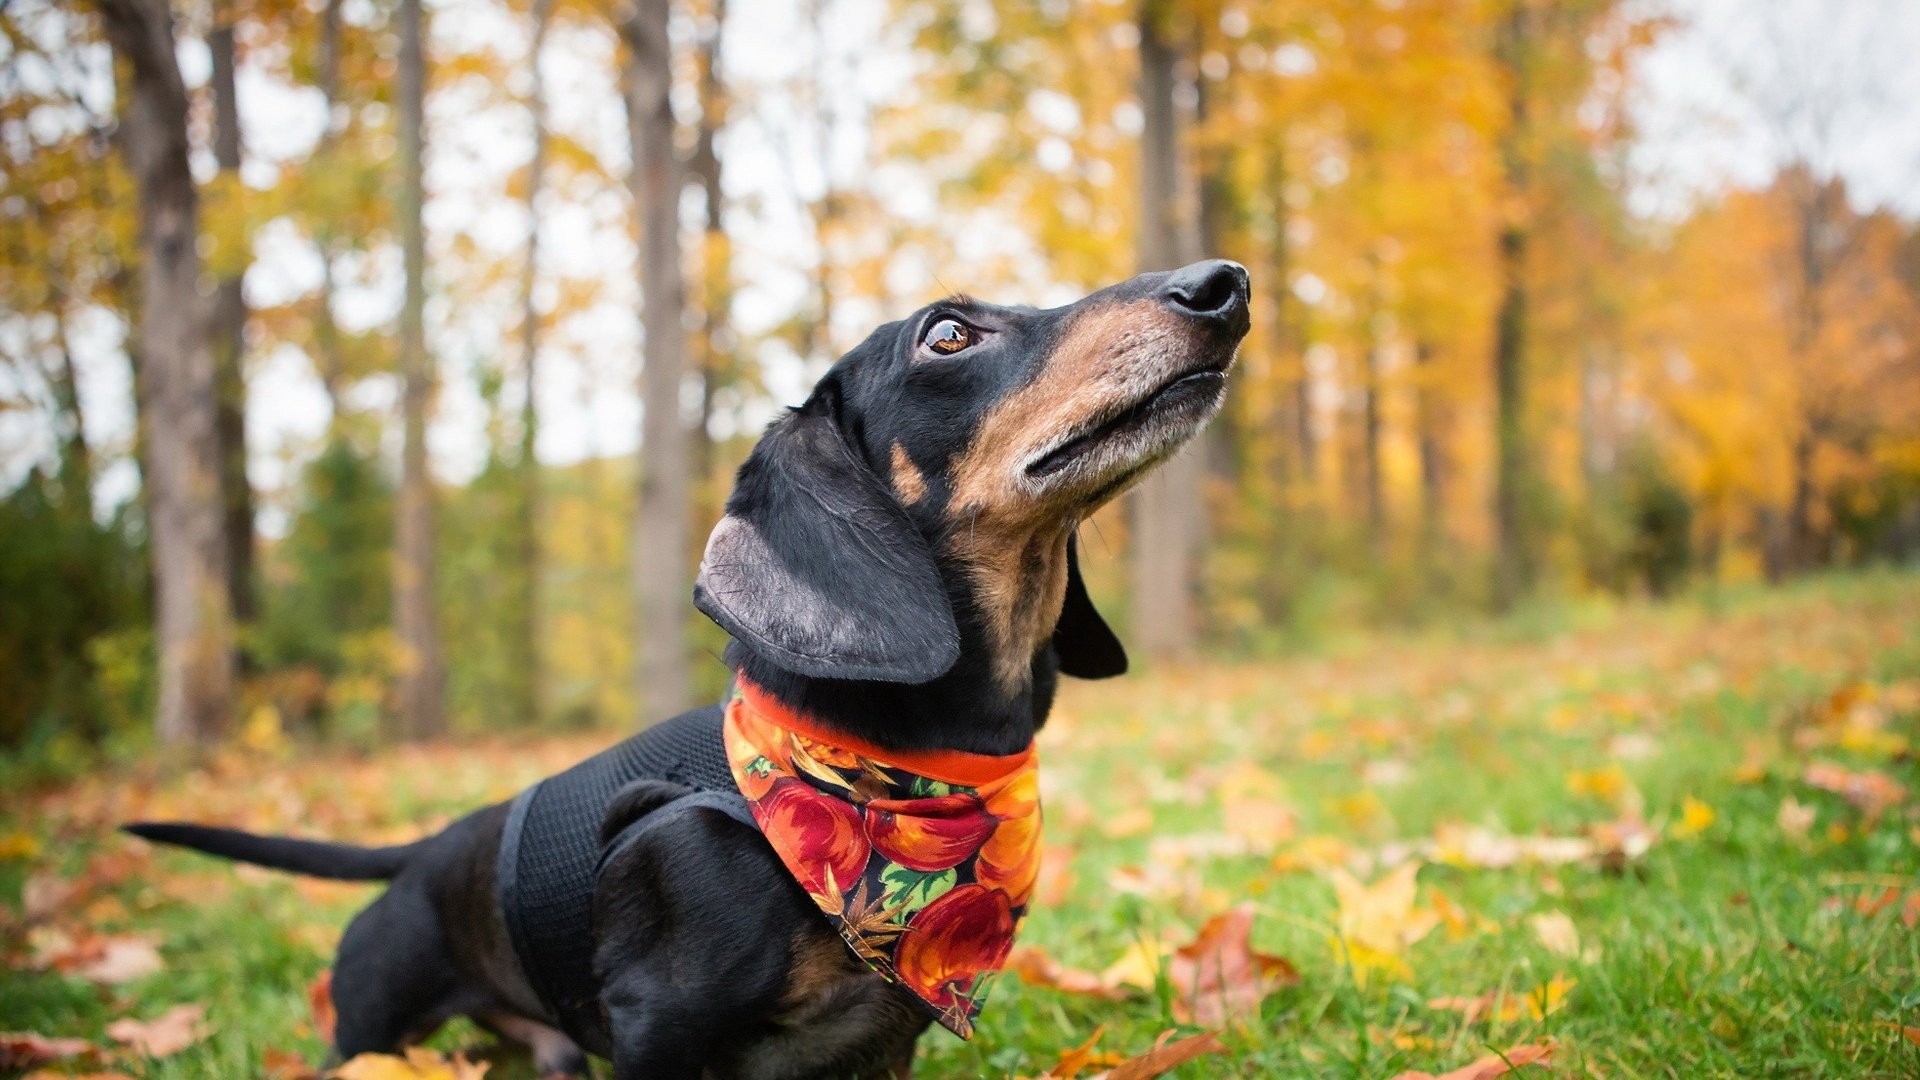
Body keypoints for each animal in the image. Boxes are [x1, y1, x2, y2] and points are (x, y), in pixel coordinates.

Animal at [127, 261, 1251, 1076]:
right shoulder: (657, 1025)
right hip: (370, 1029)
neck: (893, 769)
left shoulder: (882, 1044)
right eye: (948, 334)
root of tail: (427, 850)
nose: (1224, 282)